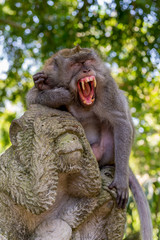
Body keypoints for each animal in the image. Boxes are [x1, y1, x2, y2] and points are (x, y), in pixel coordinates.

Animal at [26, 46, 152, 239]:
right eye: (77, 64)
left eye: (88, 61)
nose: (86, 70)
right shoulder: (50, 74)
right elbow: (32, 98)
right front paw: (52, 91)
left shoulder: (107, 87)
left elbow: (121, 122)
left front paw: (121, 181)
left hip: (109, 150)